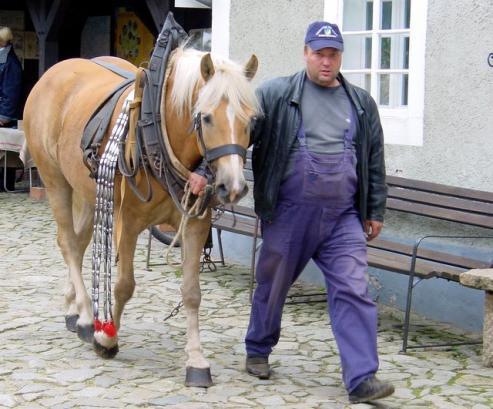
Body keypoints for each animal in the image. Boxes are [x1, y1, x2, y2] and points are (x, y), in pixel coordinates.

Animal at [23, 47, 260, 386]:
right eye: (206, 117)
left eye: (251, 119)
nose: (234, 186)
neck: (159, 133)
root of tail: (56, 71)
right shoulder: (129, 222)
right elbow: (124, 285)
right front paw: (107, 339)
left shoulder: (196, 224)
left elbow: (192, 293)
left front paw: (196, 360)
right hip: (55, 180)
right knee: (67, 241)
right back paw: (87, 316)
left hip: (88, 191)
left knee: (78, 245)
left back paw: (73, 307)